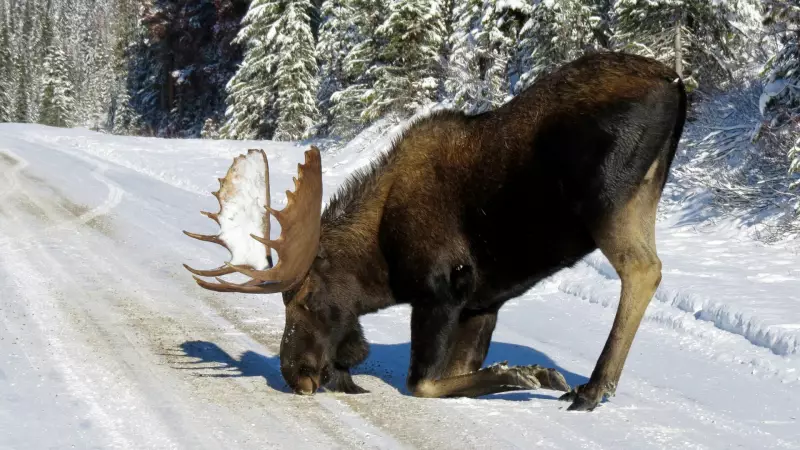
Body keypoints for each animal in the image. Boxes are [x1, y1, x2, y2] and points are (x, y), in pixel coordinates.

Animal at [183, 52, 687, 412]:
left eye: (303, 299)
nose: (294, 374)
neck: (381, 267)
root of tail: (677, 84)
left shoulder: (442, 290)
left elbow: (422, 382)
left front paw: (527, 374)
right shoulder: (482, 303)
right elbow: (459, 376)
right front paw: (524, 374)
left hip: (609, 200)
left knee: (643, 270)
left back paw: (593, 387)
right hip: (643, 195)